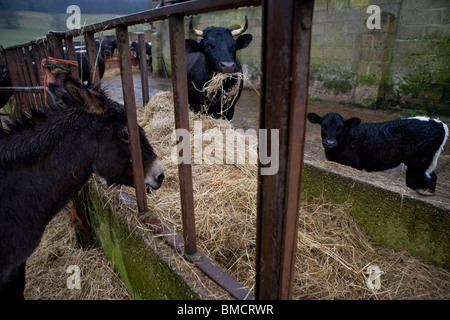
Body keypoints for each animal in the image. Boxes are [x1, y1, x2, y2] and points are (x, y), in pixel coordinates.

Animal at [308, 112, 448, 195]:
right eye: (323, 126)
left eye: (340, 127)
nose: (330, 142)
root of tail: (438, 122)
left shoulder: (353, 164)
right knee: (432, 177)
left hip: (417, 164)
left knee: (415, 183)